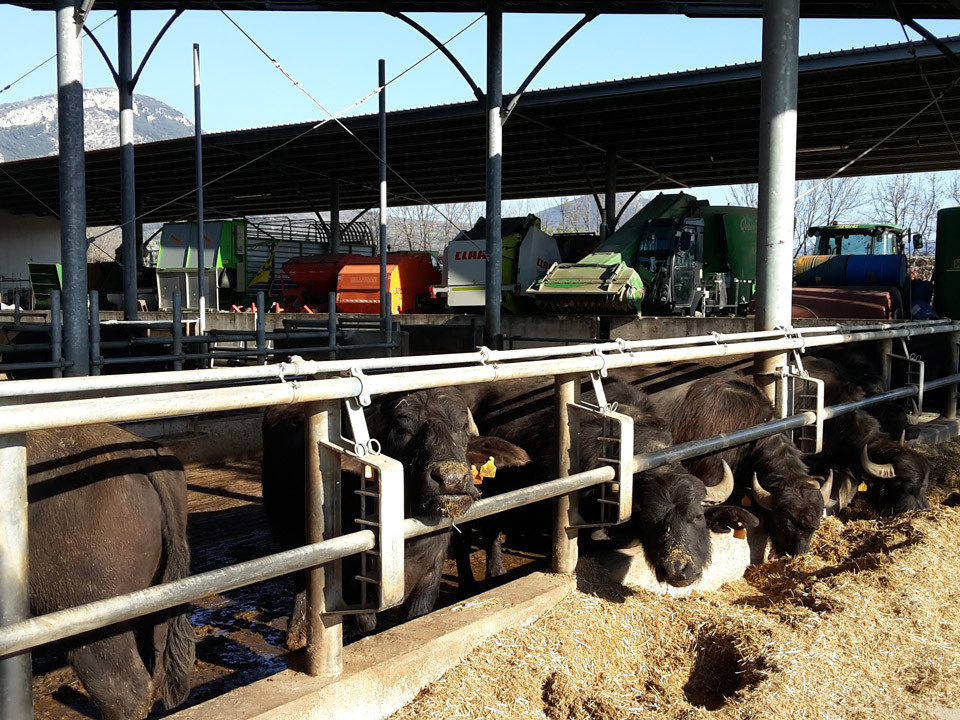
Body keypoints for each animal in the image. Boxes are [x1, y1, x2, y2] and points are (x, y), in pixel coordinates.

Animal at [260, 390, 524, 644]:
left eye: (461, 428)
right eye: (401, 430)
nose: (451, 478)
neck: (409, 543)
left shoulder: (430, 573)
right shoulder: (355, 580)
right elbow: (364, 625)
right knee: (301, 576)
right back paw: (297, 632)